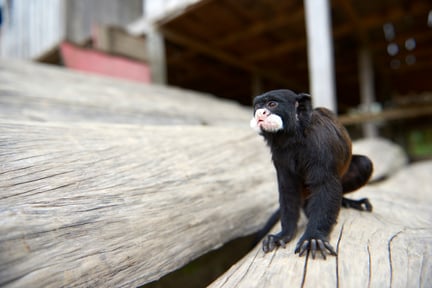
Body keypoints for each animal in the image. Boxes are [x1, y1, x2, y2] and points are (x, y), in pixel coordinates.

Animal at [251, 89, 372, 258]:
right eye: (258, 106)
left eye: (271, 104)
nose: (260, 113)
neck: (295, 136)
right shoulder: (279, 155)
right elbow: (288, 189)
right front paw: (284, 234)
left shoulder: (320, 144)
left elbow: (325, 186)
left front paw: (314, 237)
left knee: (364, 164)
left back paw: (346, 201)